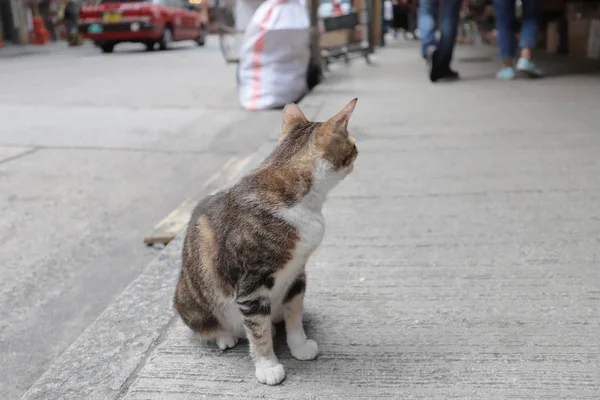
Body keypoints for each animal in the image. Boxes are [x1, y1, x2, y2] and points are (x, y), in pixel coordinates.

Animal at [175, 97, 360, 384]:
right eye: (353, 146)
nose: (358, 152)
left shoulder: (297, 274)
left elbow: (294, 313)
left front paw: (299, 345)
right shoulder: (252, 285)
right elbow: (257, 330)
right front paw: (267, 366)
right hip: (190, 300)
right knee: (212, 327)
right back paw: (226, 336)